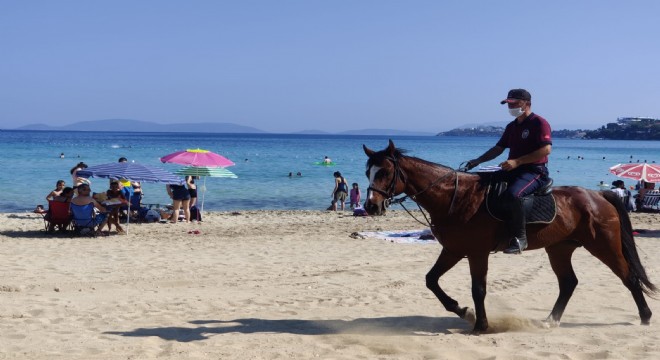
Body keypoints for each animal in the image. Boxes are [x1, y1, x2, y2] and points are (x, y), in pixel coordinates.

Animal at [364, 140, 656, 332]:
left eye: (385, 172)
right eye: (368, 172)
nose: (371, 206)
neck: (455, 196)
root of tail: (598, 195)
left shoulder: (476, 252)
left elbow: (478, 289)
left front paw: (480, 324)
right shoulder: (454, 250)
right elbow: (431, 280)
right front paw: (461, 310)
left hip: (604, 245)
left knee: (628, 277)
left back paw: (645, 316)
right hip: (559, 248)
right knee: (568, 283)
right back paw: (551, 319)